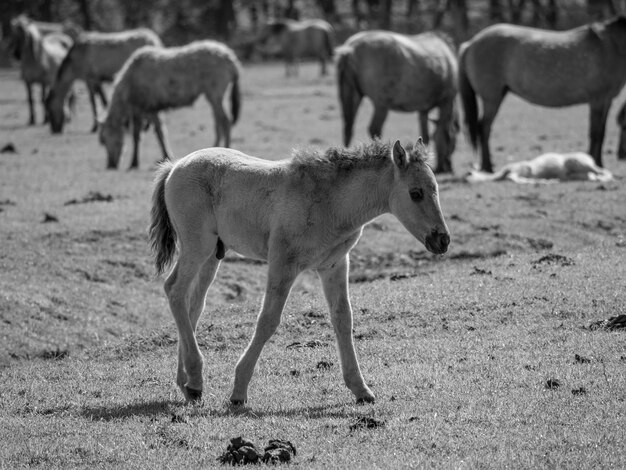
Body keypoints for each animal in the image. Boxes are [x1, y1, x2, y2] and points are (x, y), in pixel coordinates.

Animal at [98, 40, 240, 169]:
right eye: (103, 141)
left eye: (108, 140)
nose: (110, 164)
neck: (130, 83)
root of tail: (231, 60)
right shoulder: (146, 110)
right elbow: (152, 134)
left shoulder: (148, 108)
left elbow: (149, 135)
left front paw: (135, 162)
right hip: (214, 96)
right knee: (219, 122)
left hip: (215, 94)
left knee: (226, 122)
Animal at [146, 139, 448, 404]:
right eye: (416, 193)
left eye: (436, 190)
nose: (443, 240)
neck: (330, 202)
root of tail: (174, 166)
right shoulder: (283, 263)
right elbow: (268, 320)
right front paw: (238, 391)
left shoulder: (334, 265)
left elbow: (343, 319)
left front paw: (361, 389)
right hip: (197, 246)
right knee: (174, 290)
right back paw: (195, 380)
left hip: (212, 255)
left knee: (193, 305)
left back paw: (186, 383)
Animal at [336, 30, 458, 174]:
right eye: (453, 142)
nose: (447, 167)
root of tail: (350, 49)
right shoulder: (447, 101)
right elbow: (443, 133)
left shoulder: (424, 109)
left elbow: (426, 135)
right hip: (381, 103)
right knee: (374, 128)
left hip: (352, 94)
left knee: (348, 128)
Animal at [458, 14, 626, 173]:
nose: (621, 155)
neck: (612, 46)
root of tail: (471, 43)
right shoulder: (597, 99)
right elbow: (595, 132)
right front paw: (594, 163)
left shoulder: (607, 100)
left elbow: (602, 132)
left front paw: (600, 163)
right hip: (492, 98)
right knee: (483, 127)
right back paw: (487, 166)